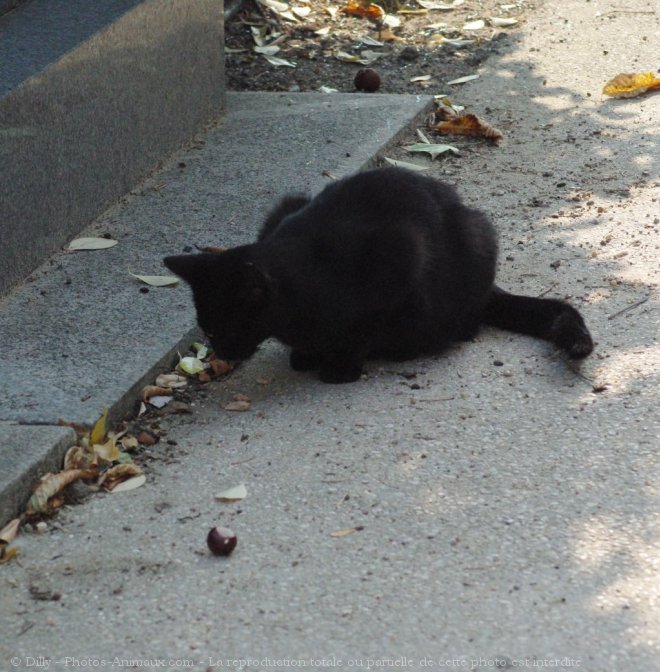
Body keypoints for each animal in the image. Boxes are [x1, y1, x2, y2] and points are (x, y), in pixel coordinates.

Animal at [164, 168, 592, 384]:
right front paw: (305, 354)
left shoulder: (401, 254)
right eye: (208, 329)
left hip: (477, 233)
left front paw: (340, 368)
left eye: (227, 328)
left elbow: (363, 330)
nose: (222, 351)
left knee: (465, 321)